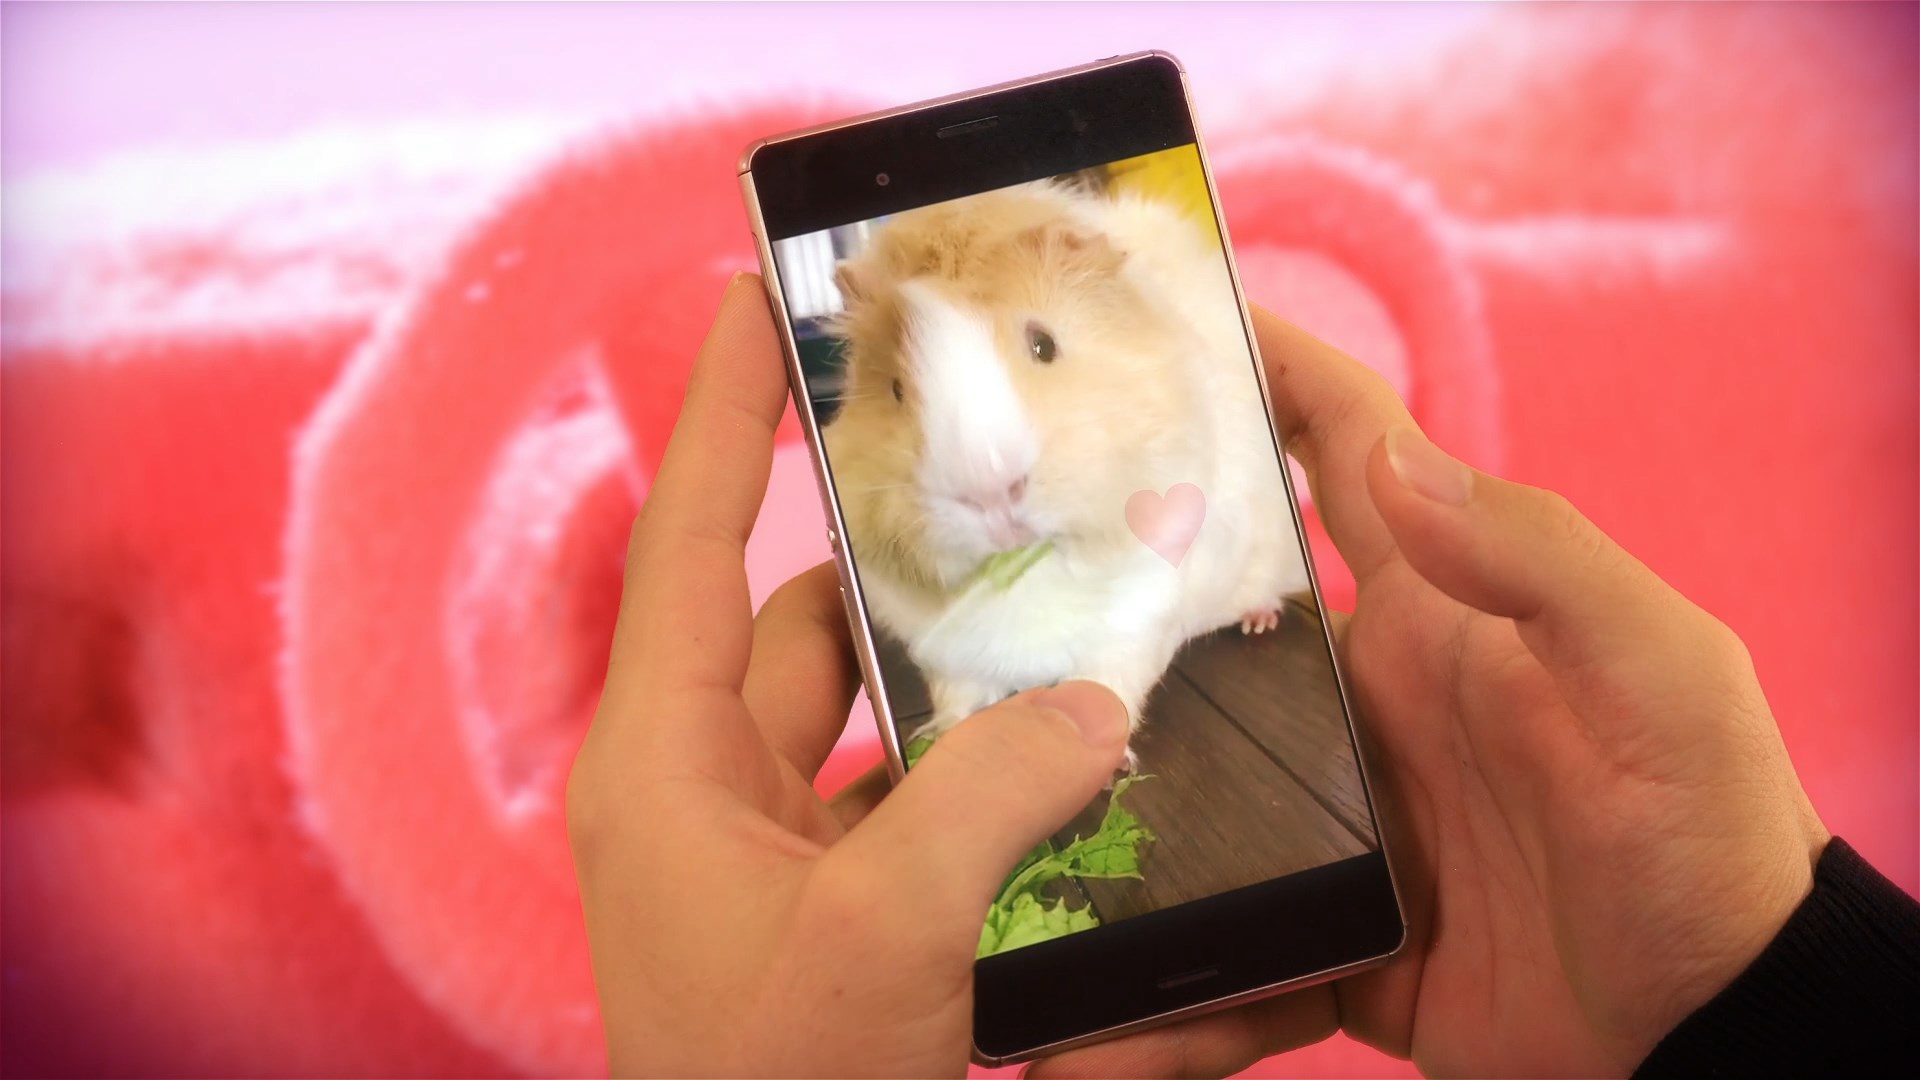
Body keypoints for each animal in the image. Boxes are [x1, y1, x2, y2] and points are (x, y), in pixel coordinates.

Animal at [820, 179, 1308, 766]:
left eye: (1044, 345)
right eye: (895, 390)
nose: (990, 493)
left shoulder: (1136, 624)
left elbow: (1109, 688)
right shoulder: (946, 653)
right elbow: (958, 696)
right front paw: (940, 738)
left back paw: (1259, 622)